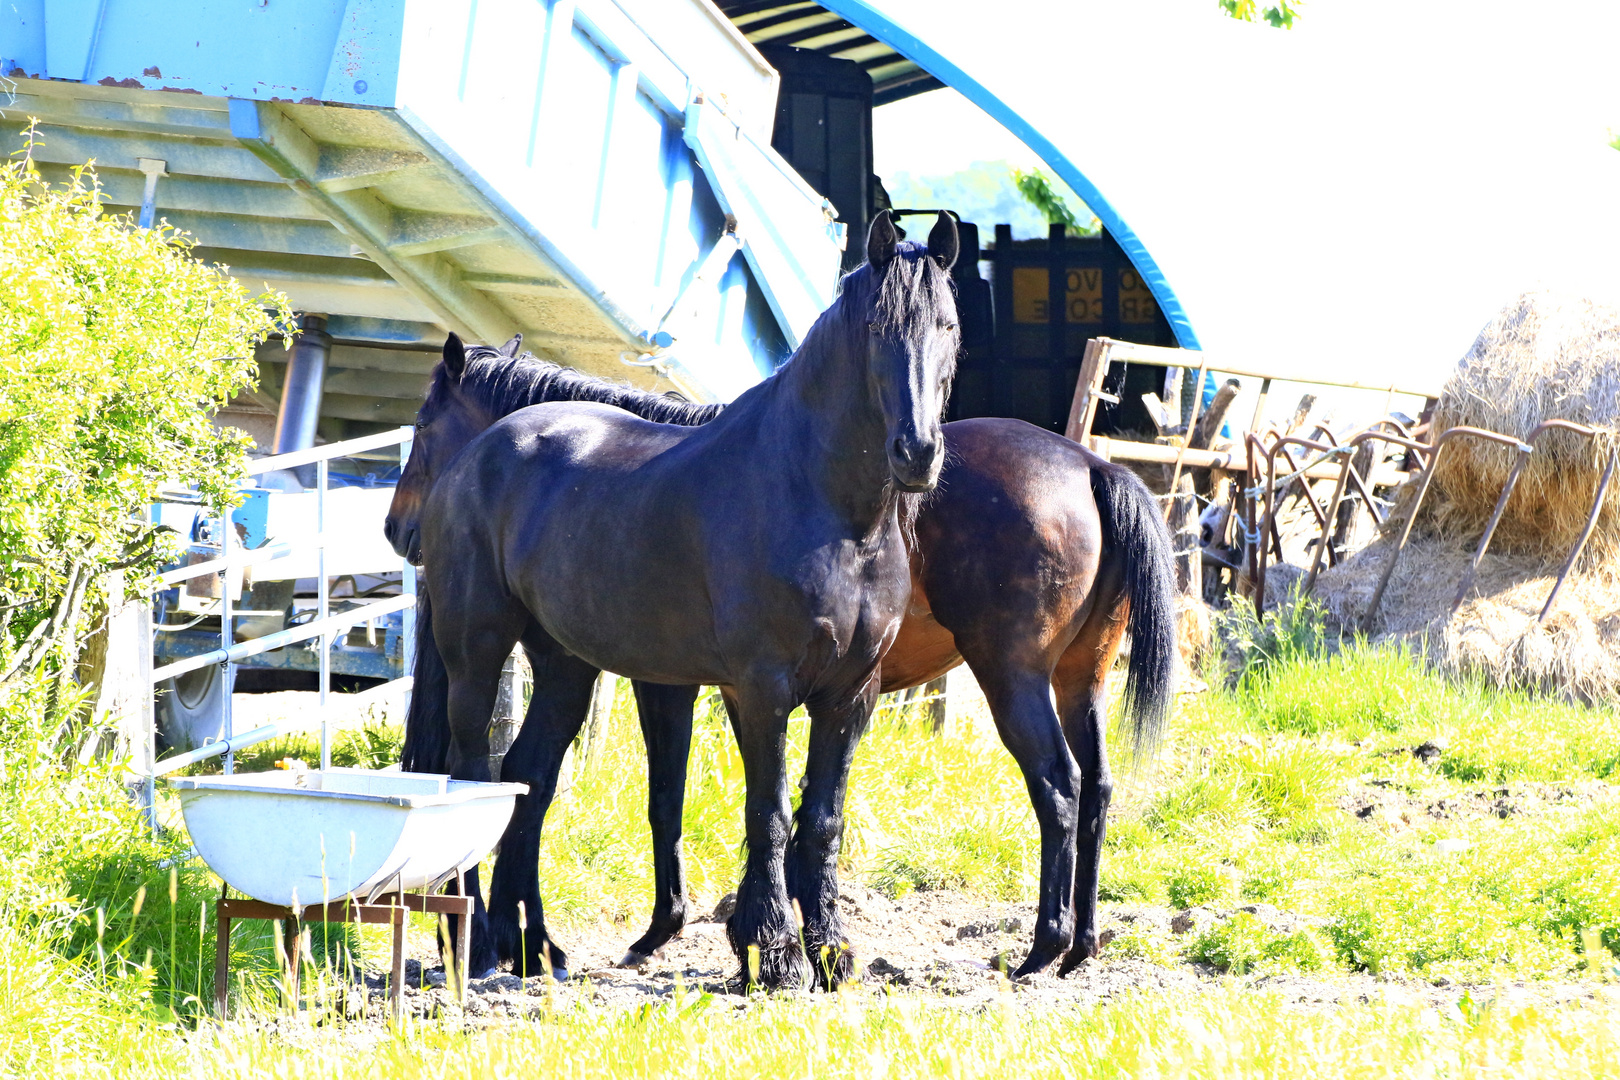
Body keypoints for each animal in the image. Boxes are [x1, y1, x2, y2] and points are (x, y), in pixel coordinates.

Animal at [383, 210, 952, 990]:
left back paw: (532, 949)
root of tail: (481, 458)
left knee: (527, 775)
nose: (917, 452)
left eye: (948, 326)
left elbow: (820, 818)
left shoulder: (851, 694)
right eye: (875, 328)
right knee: (474, 774)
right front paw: (772, 955)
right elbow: (766, 811)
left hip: (565, 668)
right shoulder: (757, 688)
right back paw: (466, 943)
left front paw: (830, 953)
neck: (829, 506)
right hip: (478, 654)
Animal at [392, 335, 1179, 977]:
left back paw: (1044, 945)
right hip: (1079, 682)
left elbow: (671, 797)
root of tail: (1089, 465)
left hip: (1014, 680)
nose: (399, 529)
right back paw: (1080, 945)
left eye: (423, 426)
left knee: (1058, 787)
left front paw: (690, 930)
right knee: (1097, 788)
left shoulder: (673, 683)